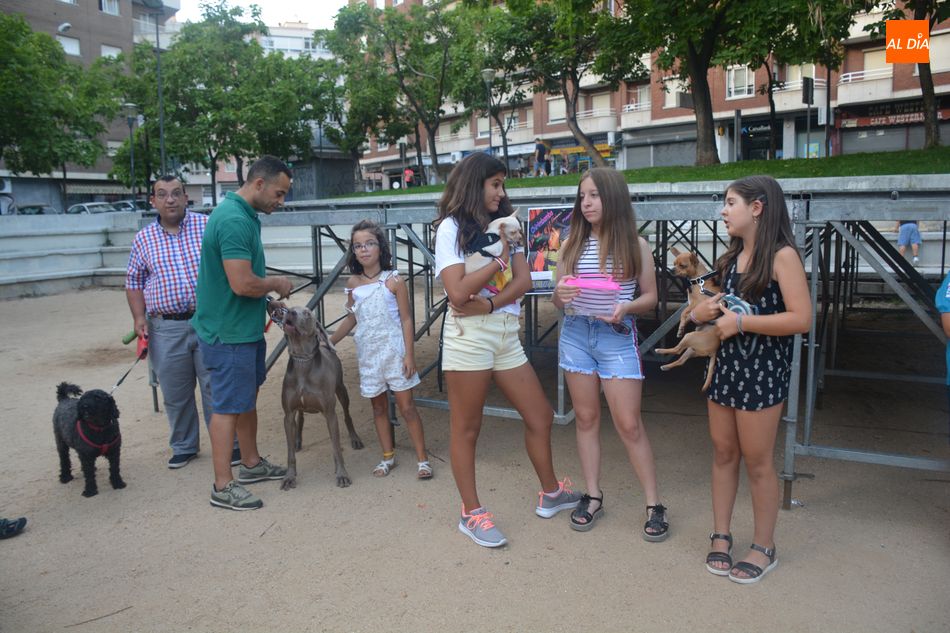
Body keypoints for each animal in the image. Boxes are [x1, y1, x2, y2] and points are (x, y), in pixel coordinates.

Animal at [278, 306, 364, 488]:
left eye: (307, 313)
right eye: (290, 309)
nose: (289, 312)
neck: (302, 361)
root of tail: (326, 345)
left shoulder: (330, 413)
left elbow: (336, 448)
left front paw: (342, 475)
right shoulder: (288, 415)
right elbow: (290, 453)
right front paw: (289, 477)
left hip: (342, 390)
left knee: (347, 415)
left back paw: (355, 439)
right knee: (300, 419)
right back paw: (298, 440)